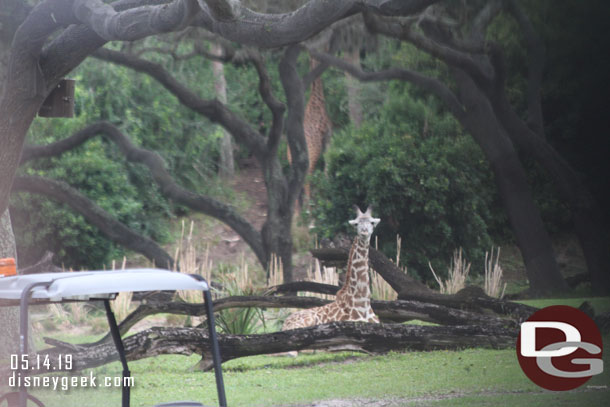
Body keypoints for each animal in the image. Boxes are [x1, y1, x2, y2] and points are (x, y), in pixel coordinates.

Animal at [286, 55, 330, 202]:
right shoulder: (328, 136)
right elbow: (328, 162)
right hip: (311, 158)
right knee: (307, 181)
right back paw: (307, 204)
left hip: (294, 162)